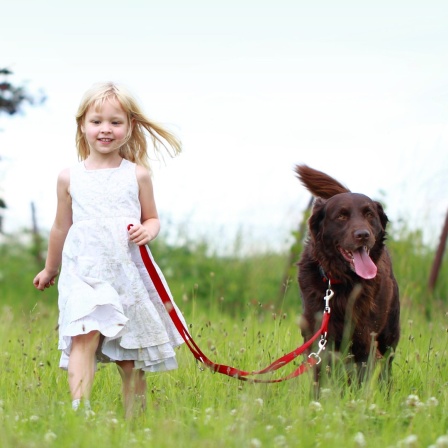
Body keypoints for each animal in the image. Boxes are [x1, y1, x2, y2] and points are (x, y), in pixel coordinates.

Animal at [296, 166, 400, 386]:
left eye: (369, 214)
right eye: (341, 216)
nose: (363, 234)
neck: (343, 282)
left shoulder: (364, 339)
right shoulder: (321, 338)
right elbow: (321, 377)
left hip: (389, 334)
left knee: (386, 367)